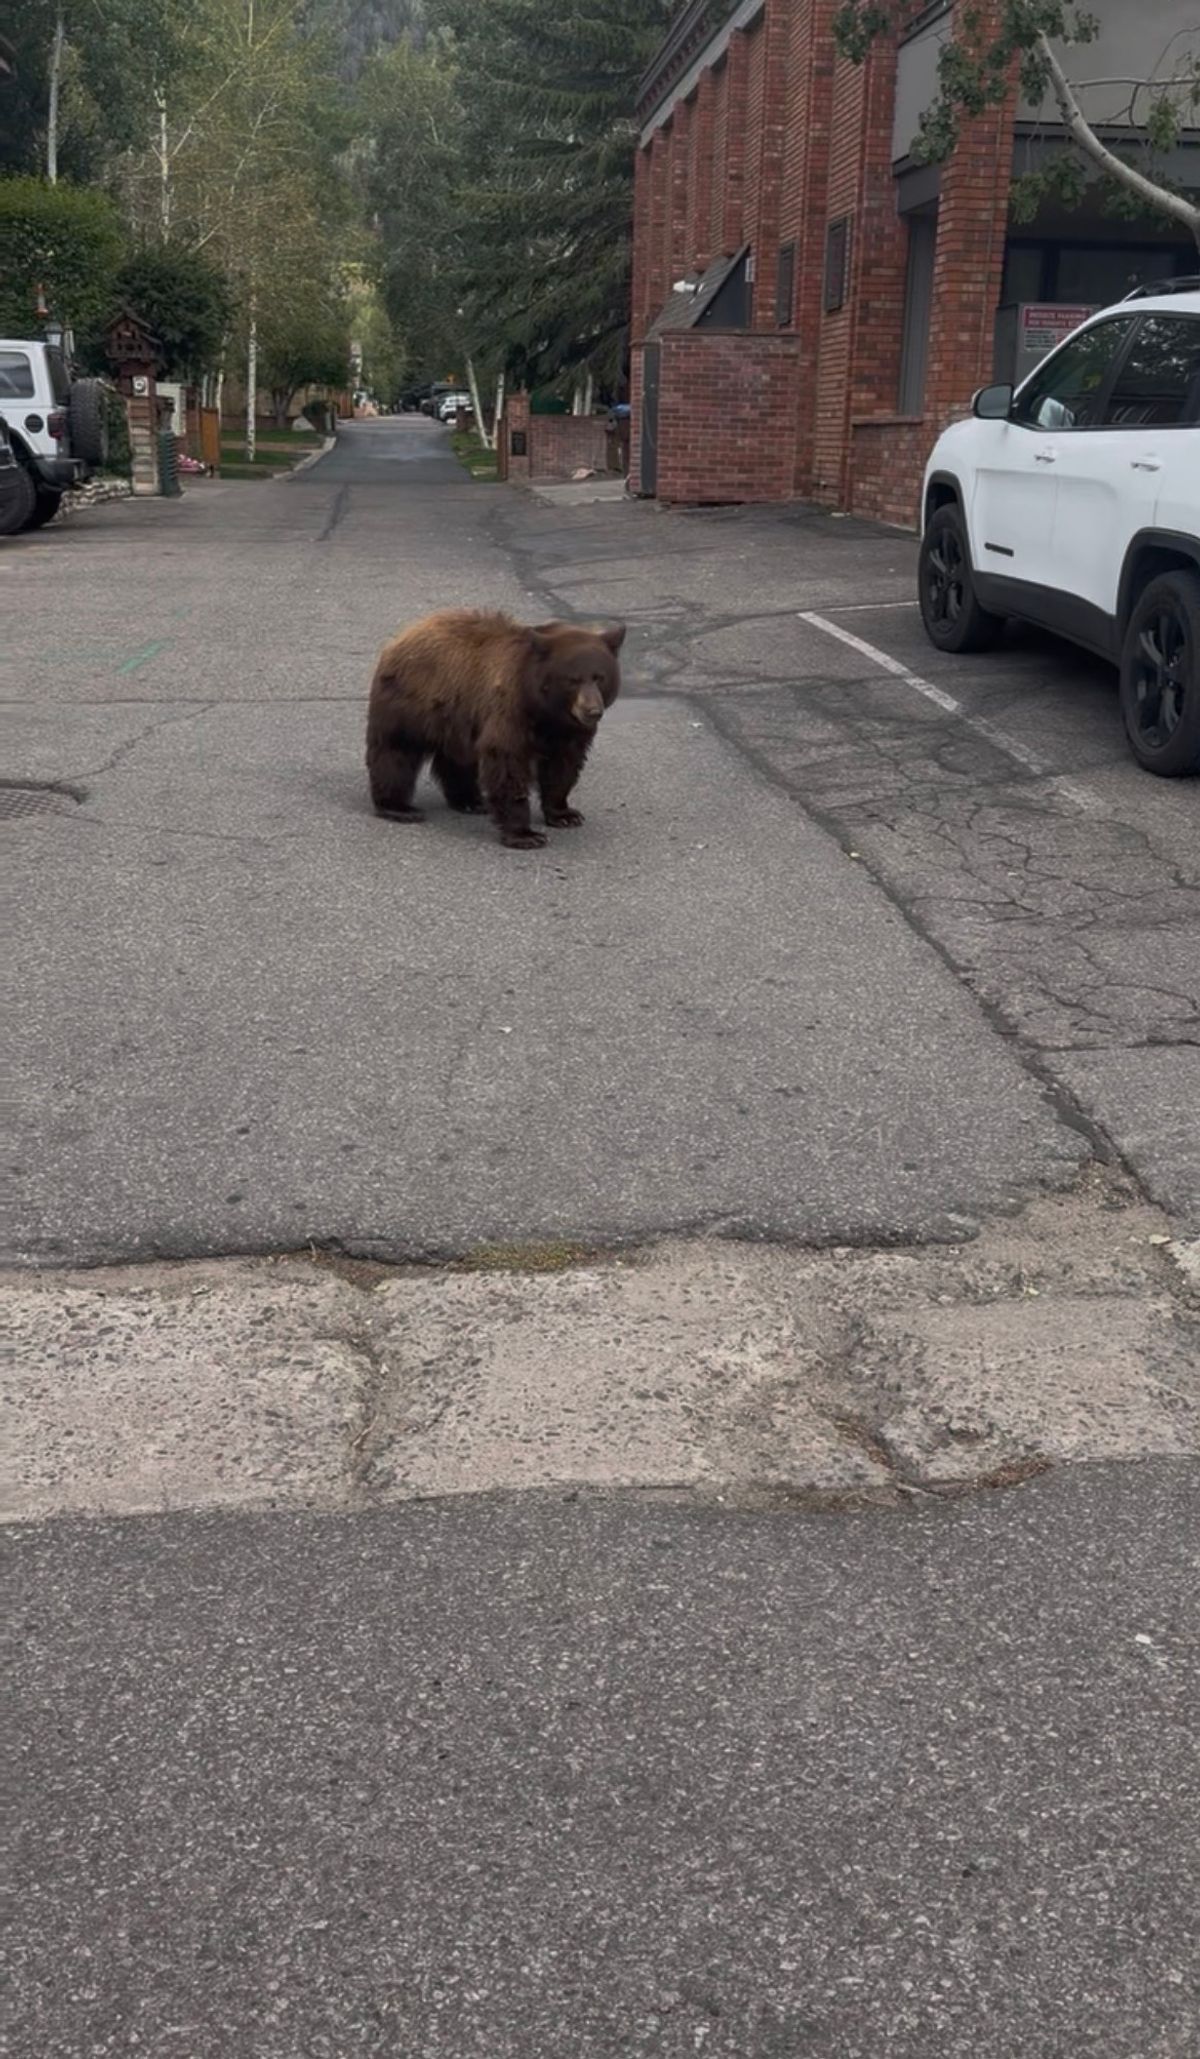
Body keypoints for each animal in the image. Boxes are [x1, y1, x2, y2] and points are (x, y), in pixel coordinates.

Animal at [366, 609, 625, 849]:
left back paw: (470, 800)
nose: (592, 711)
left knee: (458, 759)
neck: (544, 710)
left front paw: (565, 814)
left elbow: (563, 766)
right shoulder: (510, 711)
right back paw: (398, 807)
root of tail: (405, 634)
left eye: (599, 677)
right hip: (411, 701)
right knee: (396, 751)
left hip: (457, 718)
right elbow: (506, 763)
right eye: (573, 679)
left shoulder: (569, 732)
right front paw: (526, 834)